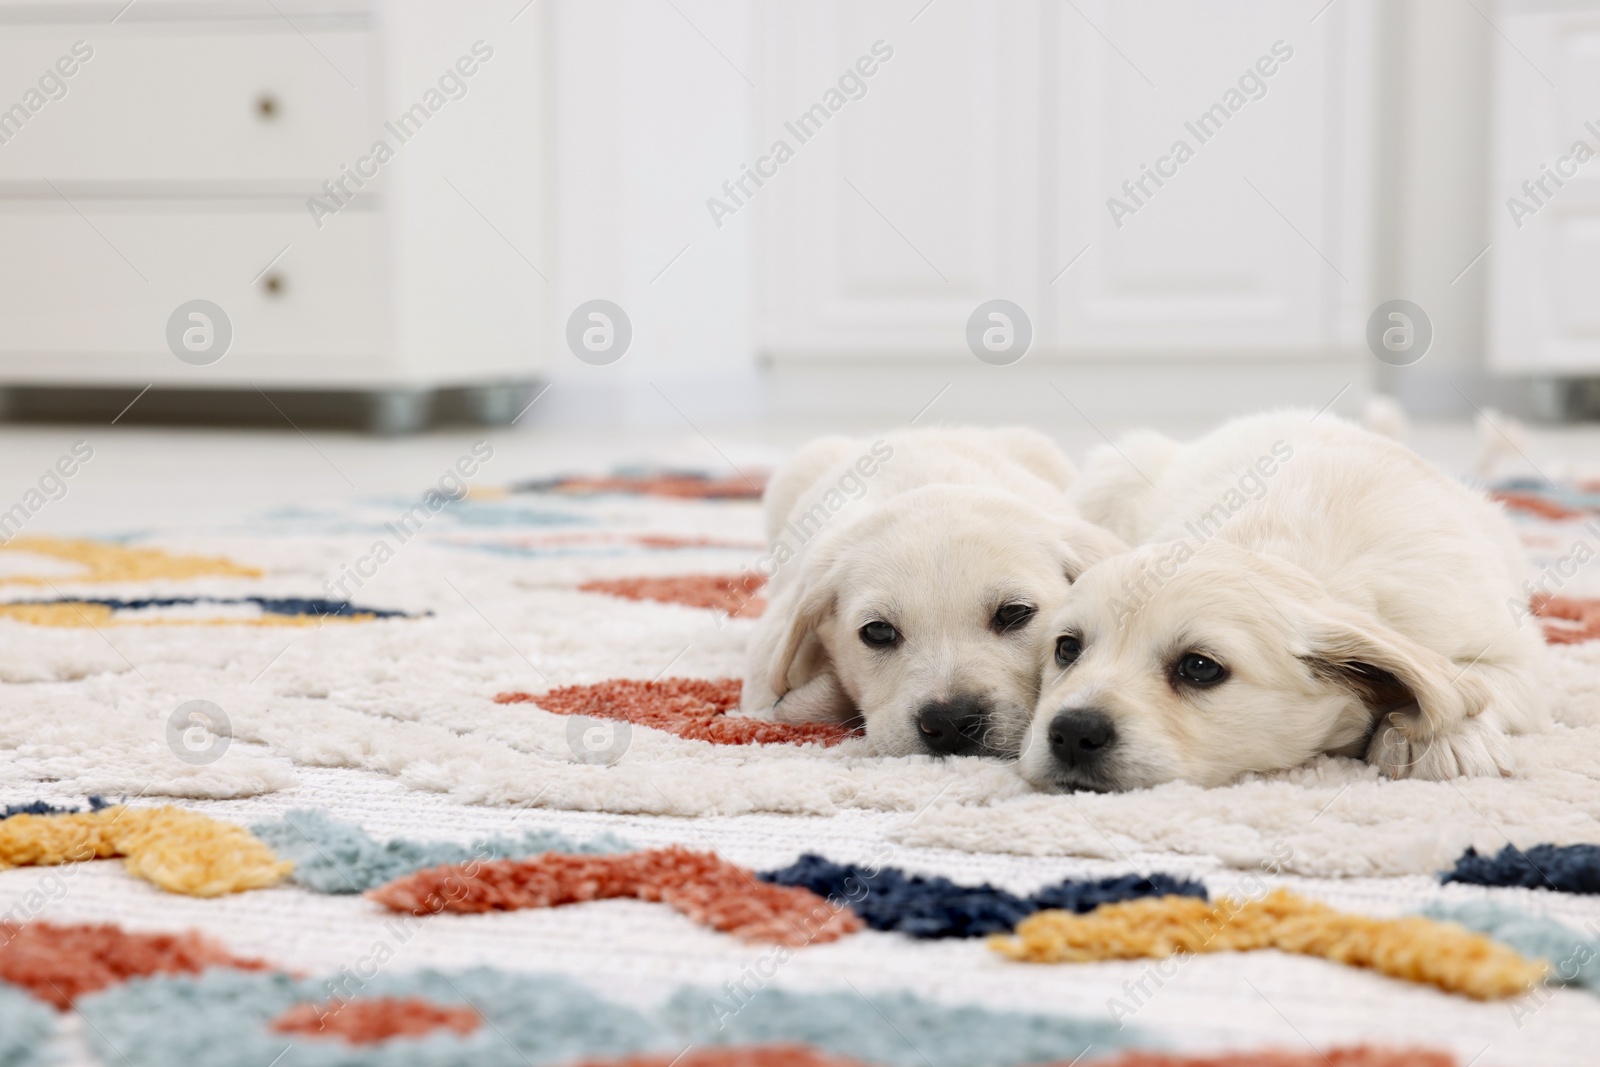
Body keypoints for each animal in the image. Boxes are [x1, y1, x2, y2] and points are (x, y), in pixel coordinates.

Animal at [1024, 412, 1548, 793]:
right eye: (1067, 649)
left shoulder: (1520, 653)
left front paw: (1442, 740)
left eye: (1199, 668)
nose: (1073, 732)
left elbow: (1472, 677)